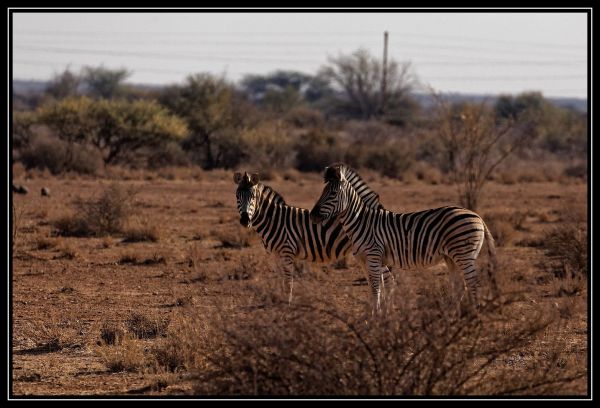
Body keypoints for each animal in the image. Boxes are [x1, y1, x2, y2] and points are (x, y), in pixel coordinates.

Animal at [234, 170, 384, 302]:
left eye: (253, 197)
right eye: (237, 196)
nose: (245, 220)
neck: (274, 220)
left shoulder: (287, 252)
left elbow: (288, 282)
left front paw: (287, 304)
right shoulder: (276, 256)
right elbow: (281, 280)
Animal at [310, 163, 496, 310]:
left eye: (332, 194)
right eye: (322, 192)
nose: (312, 215)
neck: (361, 221)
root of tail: (477, 216)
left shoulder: (374, 256)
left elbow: (376, 289)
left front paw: (376, 317)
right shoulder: (366, 261)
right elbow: (375, 287)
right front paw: (378, 316)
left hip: (464, 254)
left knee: (473, 284)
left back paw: (473, 315)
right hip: (451, 257)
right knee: (460, 286)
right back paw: (456, 316)